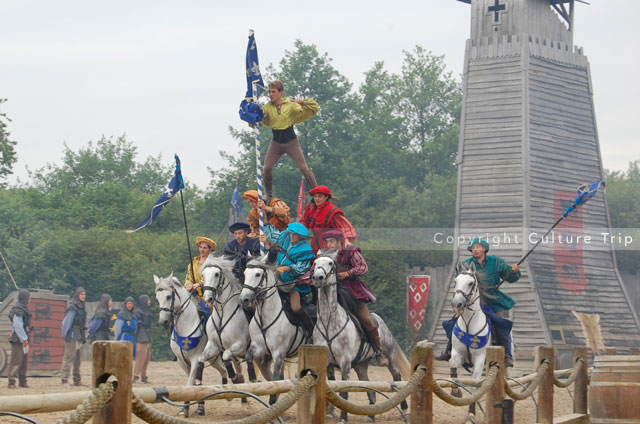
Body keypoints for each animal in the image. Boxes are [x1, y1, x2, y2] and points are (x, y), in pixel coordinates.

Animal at [154, 274, 208, 418]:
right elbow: (192, 384)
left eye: (168, 296)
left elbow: (190, 384)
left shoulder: (196, 359)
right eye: (157, 297)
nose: (163, 321)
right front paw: (186, 409)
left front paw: (186, 409)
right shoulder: (182, 361)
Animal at [199, 255, 249, 384]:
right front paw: (197, 380)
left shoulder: (241, 345)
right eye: (204, 275)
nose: (207, 298)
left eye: (216, 274)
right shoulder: (213, 346)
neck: (222, 315)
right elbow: (201, 359)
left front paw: (236, 377)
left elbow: (226, 356)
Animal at [241, 252, 308, 404]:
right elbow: (249, 357)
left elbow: (276, 378)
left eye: (258, 274)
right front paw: (253, 378)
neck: (266, 318)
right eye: (245, 273)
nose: (244, 299)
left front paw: (272, 401)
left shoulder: (278, 353)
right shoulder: (258, 347)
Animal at [312, 250, 410, 422]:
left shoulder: (345, 362)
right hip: (361, 365)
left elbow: (344, 391)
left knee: (396, 376)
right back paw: (371, 415)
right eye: (315, 262)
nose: (318, 277)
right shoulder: (327, 363)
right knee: (368, 385)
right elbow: (332, 388)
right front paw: (328, 412)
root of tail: (379, 319)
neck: (329, 322)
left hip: (389, 357)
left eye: (330, 263)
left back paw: (403, 408)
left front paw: (343, 418)